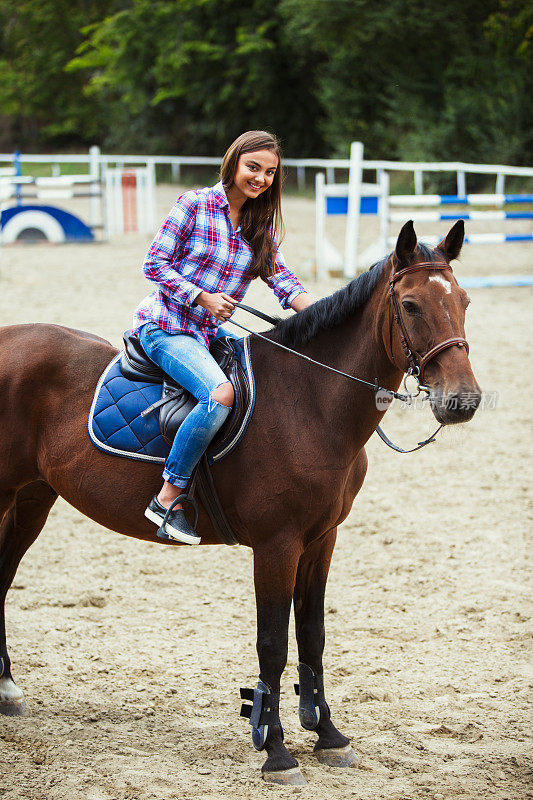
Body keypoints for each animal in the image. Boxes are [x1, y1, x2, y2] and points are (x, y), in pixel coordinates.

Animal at [0, 222, 480, 784]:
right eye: (410, 305)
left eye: (464, 300)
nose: (464, 400)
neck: (309, 402)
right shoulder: (277, 545)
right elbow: (272, 645)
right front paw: (275, 748)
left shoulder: (321, 540)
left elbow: (312, 636)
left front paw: (328, 734)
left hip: (33, 497)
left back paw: (7, 689)